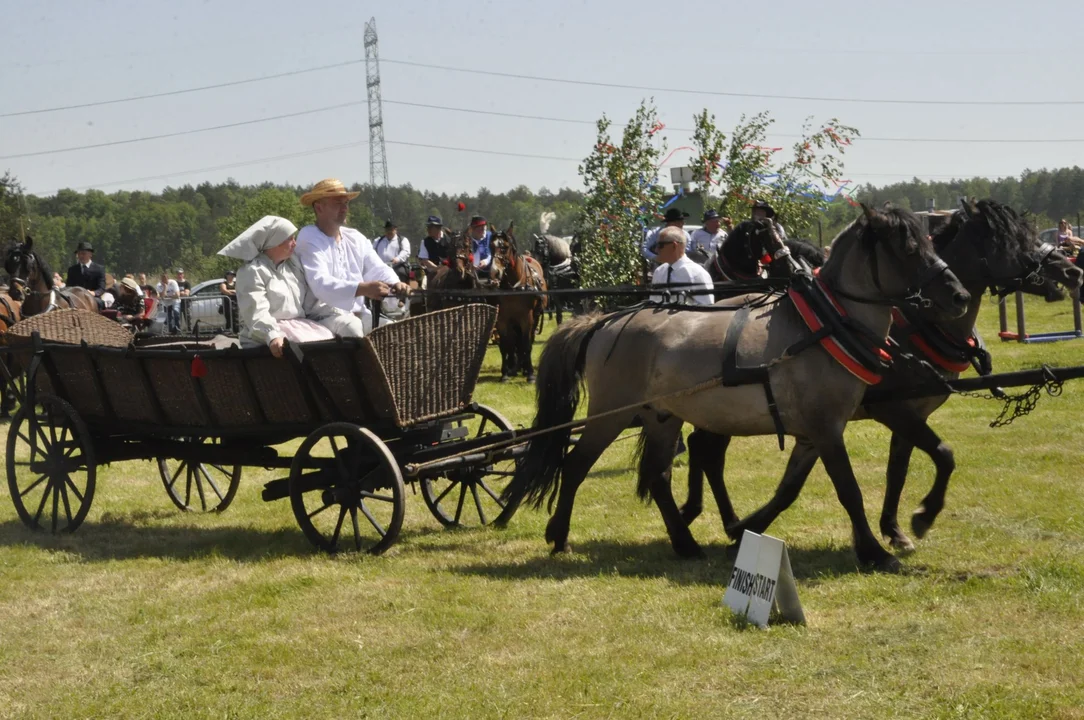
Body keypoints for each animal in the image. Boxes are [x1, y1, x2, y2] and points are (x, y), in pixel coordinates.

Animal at [489, 223, 546, 381]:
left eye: (505, 247)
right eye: (491, 246)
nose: (494, 272)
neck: (515, 286)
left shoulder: (527, 318)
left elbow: (526, 344)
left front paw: (530, 373)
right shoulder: (502, 319)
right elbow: (505, 345)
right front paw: (505, 374)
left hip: (535, 317)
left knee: (527, 340)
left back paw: (524, 368)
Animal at [498, 204, 975, 572]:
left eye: (931, 243)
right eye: (909, 249)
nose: (959, 297)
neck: (825, 327)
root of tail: (605, 320)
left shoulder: (819, 430)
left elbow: (792, 488)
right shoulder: (828, 428)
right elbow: (850, 491)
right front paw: (880, 549)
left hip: (661, 417)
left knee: (658, 476)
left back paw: (685, 544)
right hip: (609, 414)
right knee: (576, 465)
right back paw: (560, 536)